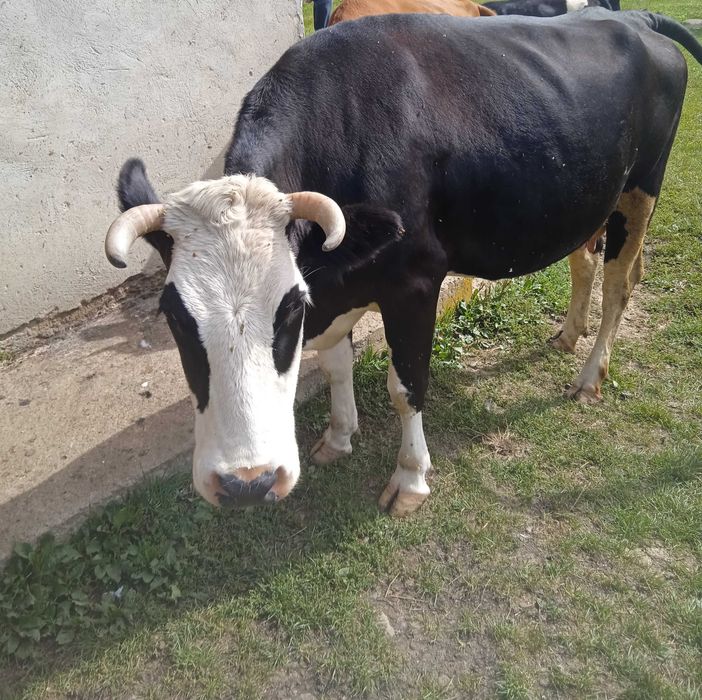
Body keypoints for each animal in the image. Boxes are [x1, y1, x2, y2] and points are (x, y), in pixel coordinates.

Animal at [105, 10, 702, 517]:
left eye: (290, 308)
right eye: (174, 316)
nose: (245, 482)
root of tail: (635, 18)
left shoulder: (414, 281)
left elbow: (407, 383)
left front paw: (410, 479)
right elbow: (336, 364)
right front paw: (338, 437)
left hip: (641, 188)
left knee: (622, 282)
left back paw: (588, 376)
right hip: (587, 199)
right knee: (585, 261)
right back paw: (567, 334)